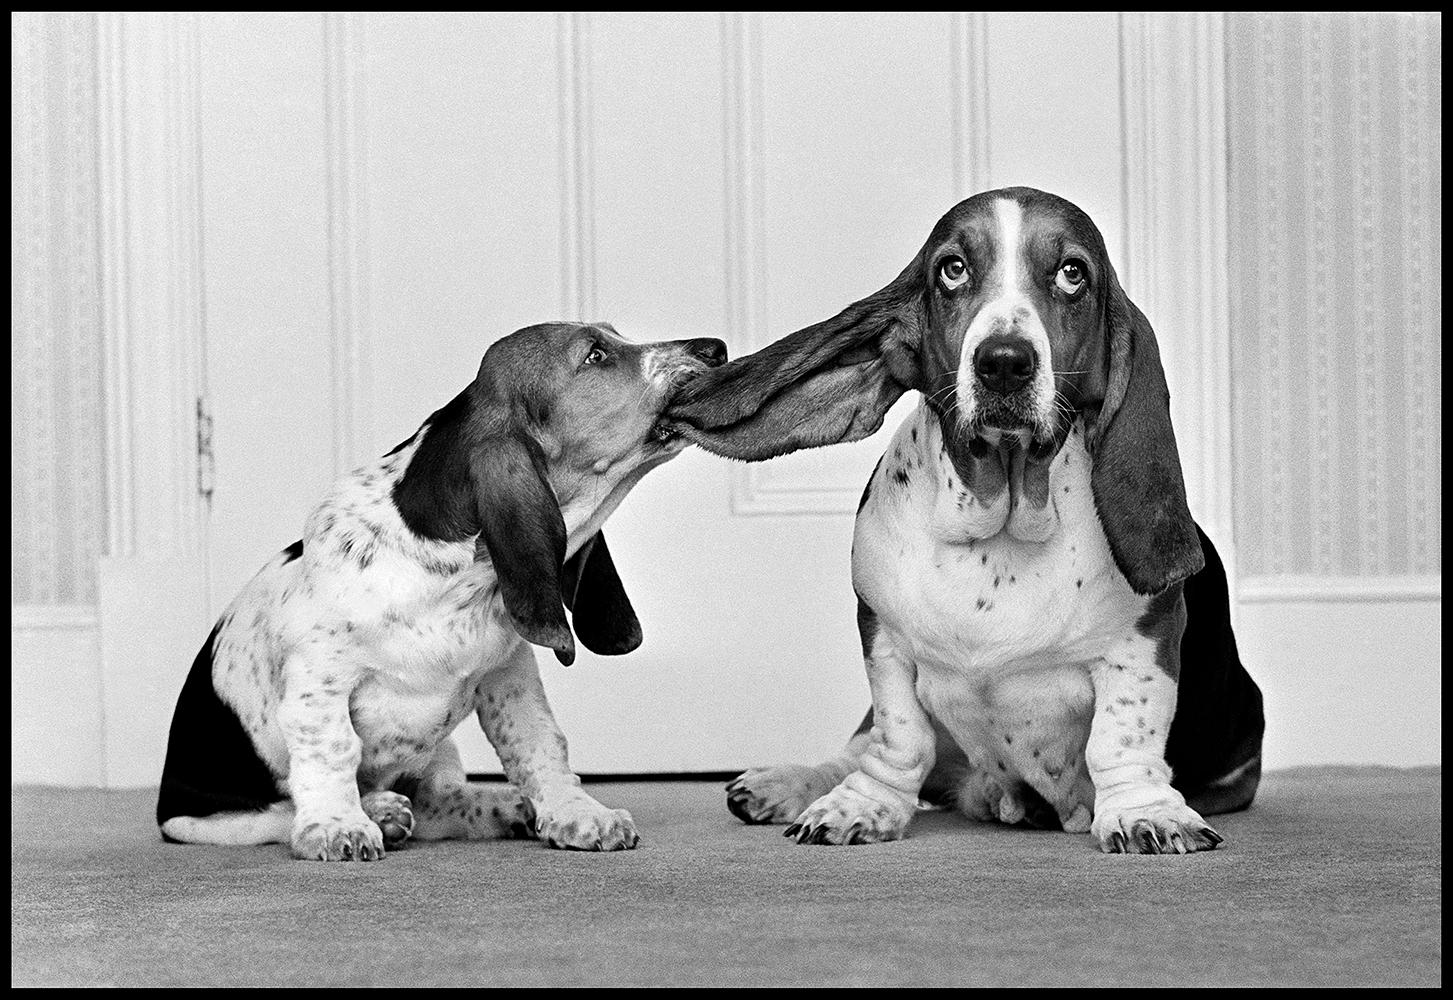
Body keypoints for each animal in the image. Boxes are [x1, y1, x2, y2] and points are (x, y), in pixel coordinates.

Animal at [159, 319, 726, 860]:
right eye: (594, 355)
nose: (715, 348)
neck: (458, 583)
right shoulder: (320, 683)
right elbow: (332, 752)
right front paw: (337, 826)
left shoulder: (509, 677)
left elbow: (539, 744)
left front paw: (575, 812)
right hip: (199, 820)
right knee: (277, 814)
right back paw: (378, 811)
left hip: (438, 753)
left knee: (438, 798)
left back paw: (501, 806)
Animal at [665, 185, 1267, 848]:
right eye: (952, 269)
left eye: (1072, 274)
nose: (1004, 361)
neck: (998, 523)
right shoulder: (885, 643)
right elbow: (898, 741)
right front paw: (860, 806)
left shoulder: (1144, 646)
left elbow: (1121, 742)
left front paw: (1145, 813)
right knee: (864, 748)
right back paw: (786, 784)